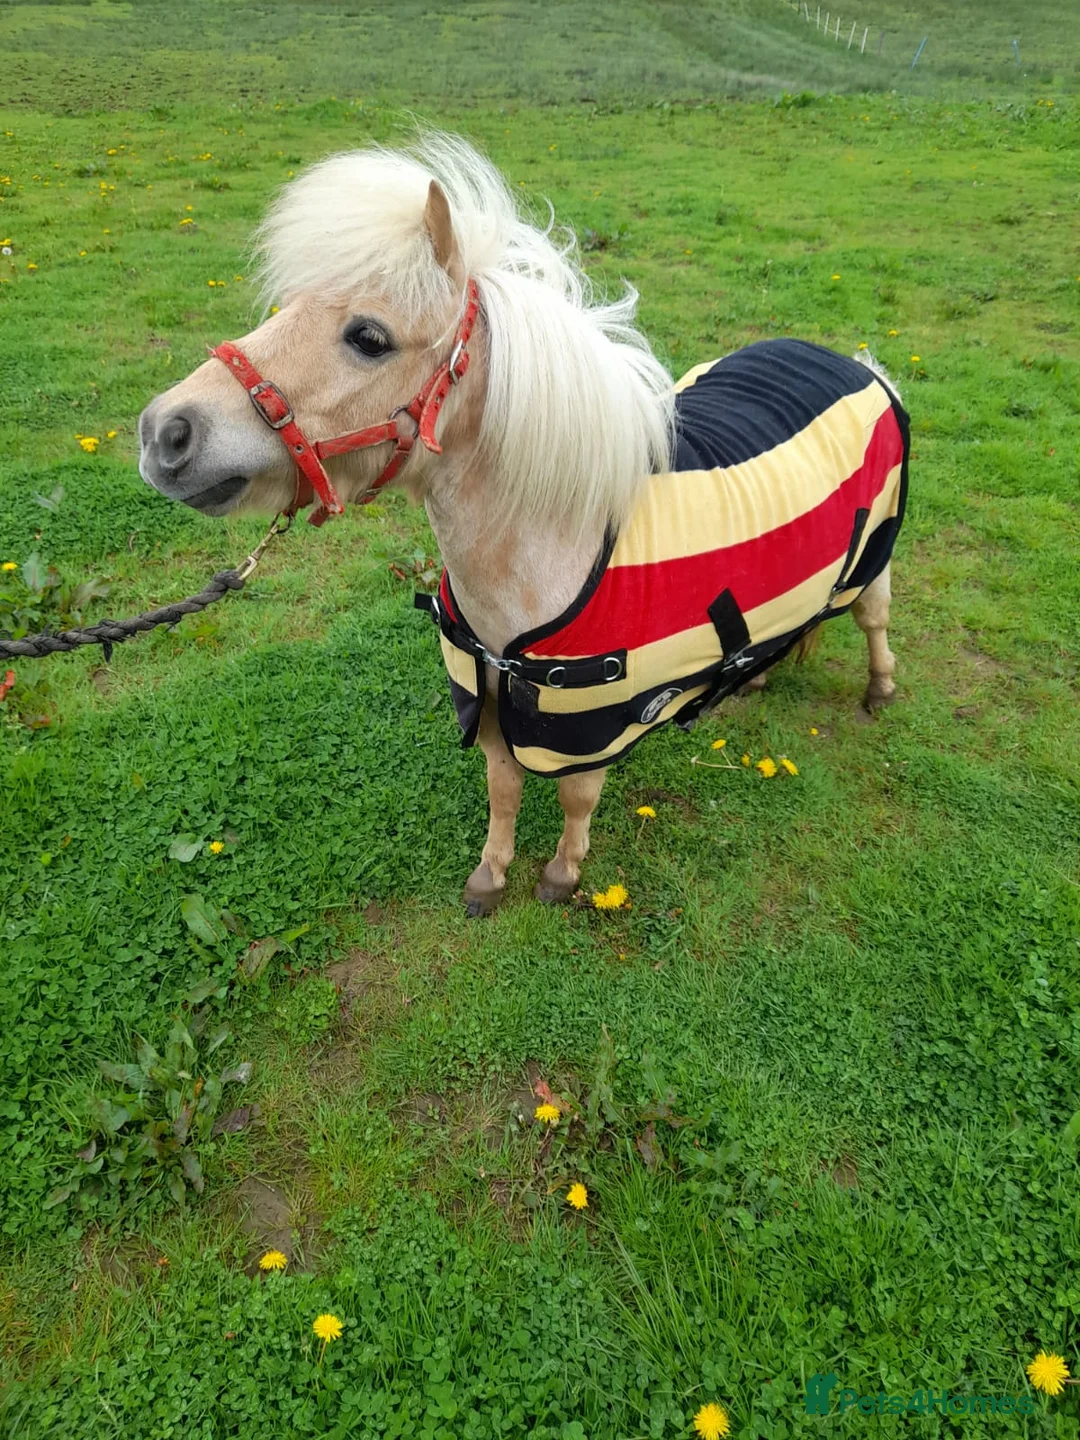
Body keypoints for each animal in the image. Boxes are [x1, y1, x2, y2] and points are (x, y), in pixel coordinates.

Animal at [139, 131, 908, 916]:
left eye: (369, 336)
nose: (164, 433)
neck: (557, 549)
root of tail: (855, 364)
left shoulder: (596, 727)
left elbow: (576, 799)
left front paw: (562, 875)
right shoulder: (490, 710)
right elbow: (503, 791)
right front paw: (491, 876)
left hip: (875, 555)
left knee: (873, 617)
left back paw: (879, 691)